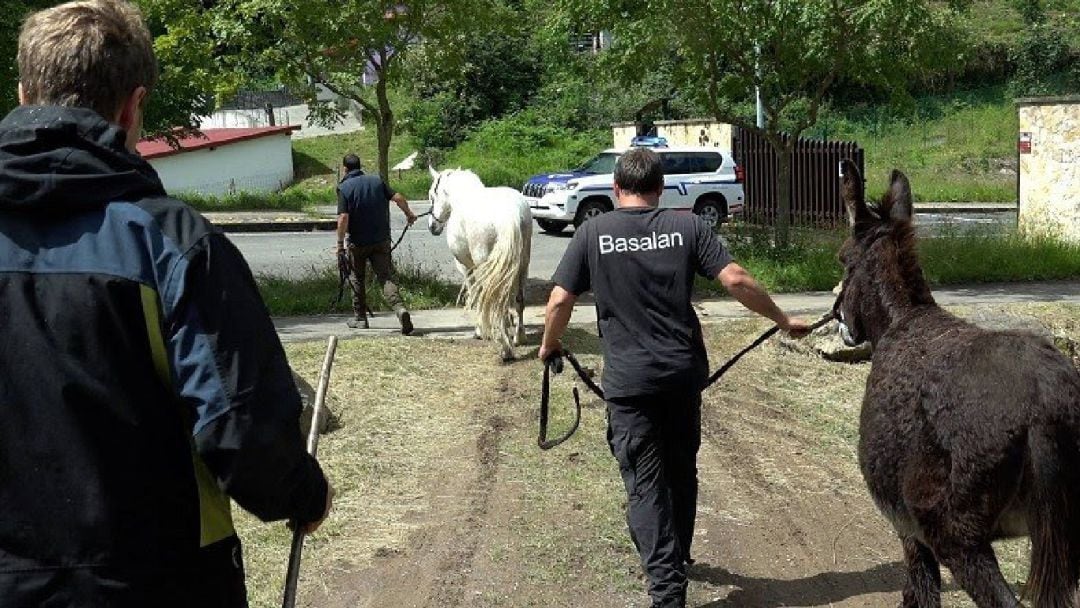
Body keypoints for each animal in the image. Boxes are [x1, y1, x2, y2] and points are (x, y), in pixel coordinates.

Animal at [427, 165, 533, 360]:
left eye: (432, 195)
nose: (432, 226)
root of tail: (510, 214)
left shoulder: (466, 268)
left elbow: (475, 294)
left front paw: (479, 331)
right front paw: (508, 323)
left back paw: (505, 349)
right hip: (522, 265)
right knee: (517, 299)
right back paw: (518, 338)